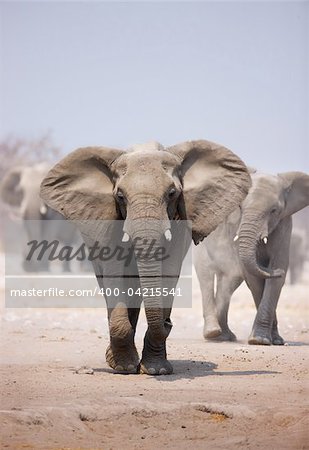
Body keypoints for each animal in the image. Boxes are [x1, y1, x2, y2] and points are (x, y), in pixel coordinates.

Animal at [39, 140, 250, 372]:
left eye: (172, 193)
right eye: (120, 196)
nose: (169, 322)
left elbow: (168, 274)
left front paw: (157, 370)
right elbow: (115, 274)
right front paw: (124, 367)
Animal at [194, 171, 308, 346]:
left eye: (274, 210)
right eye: (240, 207)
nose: (276, 271)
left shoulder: (284, 224)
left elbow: (276, 276)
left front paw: (271, 340)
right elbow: (254, 279)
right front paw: (260, 340)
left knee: (228, 282)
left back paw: (224, 336)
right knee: (205, 274)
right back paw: (213, 333)